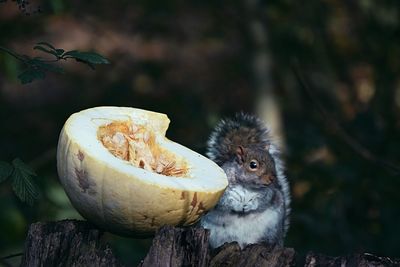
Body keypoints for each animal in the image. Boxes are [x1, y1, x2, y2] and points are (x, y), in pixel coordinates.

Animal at [200, 112, 290, 249]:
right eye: (253, 165)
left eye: (272, 162)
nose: (272, 178)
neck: (247, 186)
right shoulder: (225, 192)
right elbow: (225, 202)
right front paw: (238, 205)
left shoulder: (268, 193)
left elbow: (262, 202)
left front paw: (249, 206)